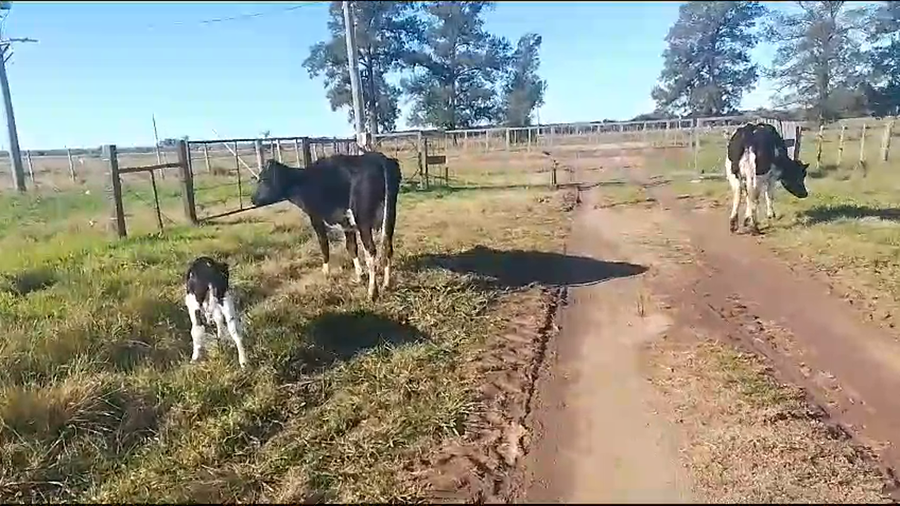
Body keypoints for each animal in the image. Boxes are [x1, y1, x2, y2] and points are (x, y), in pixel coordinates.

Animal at [249, 152, 402, 301]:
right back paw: (386, 284)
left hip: (363, 221)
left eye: (263, 179)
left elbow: (324, 245)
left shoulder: (316, 218)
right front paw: (359, 276)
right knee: (388, 246)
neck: (303, 182)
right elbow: (351, 247)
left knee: (371, 251)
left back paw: (372, 292)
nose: (253, 199)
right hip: (390, 215)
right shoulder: (346, 223)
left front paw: (325, 272)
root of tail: (379, 158)